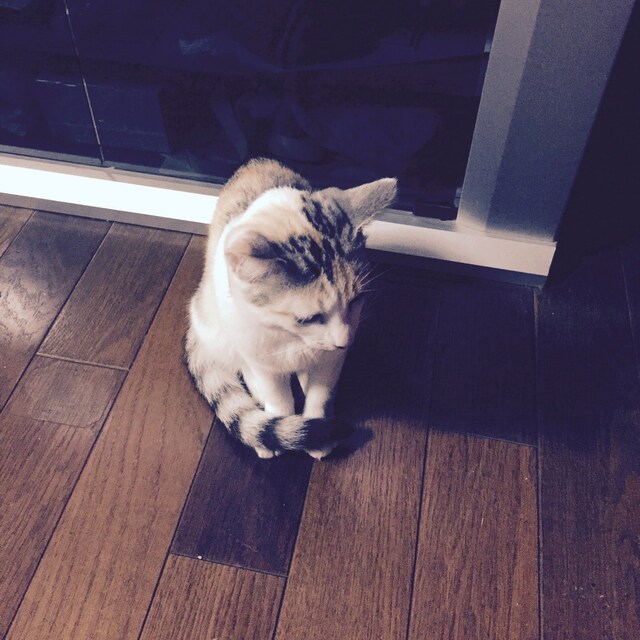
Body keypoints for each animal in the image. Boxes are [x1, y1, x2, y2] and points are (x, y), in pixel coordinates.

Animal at [185, 158, 396, 459]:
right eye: (309, 318)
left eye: (357, 299)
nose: (344, 342)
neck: (292, 340)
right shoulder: (261, 357)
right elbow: (278, 398)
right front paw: (279, 432)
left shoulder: (331, 360)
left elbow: (320, 394)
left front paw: (318, 431)